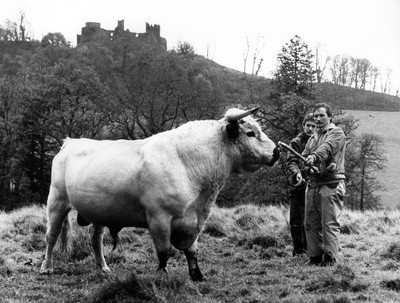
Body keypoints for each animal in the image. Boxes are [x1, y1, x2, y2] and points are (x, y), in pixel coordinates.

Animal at [39, 107, 278, 282]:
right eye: (250, 133)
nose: (277, 151)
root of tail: (70, 143)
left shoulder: (195, 218)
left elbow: (192, 250)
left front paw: (197, 275)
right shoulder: (159, 218)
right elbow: (164, 251)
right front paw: (162, 276)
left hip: (98, 211)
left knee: (95, 239)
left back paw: (103, 267)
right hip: (57, 201)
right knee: (51, 236)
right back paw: (46, 267)